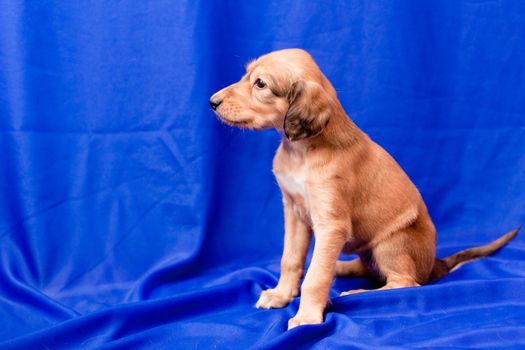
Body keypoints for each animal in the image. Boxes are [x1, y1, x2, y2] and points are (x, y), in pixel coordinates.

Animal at [208, 47, 516, 330]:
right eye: (246, 75)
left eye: (260, 84)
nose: (212, 101)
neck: (301, 152)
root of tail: (433, 264)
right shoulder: (294, 212)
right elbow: (291, 259)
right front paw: (281, 295)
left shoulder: (331, 225)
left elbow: (316, 277)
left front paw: (307, 316)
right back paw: (342, 268)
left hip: (391, 243)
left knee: (406, 282)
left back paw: (358, 292)